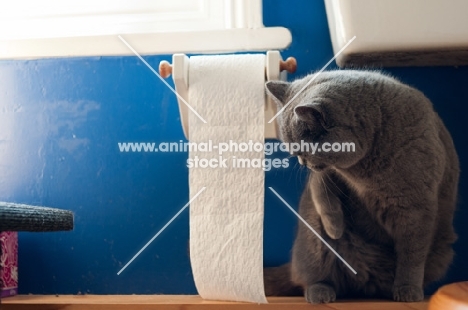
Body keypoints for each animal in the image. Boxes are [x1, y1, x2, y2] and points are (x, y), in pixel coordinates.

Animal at [266, 69, 458, 302]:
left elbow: (411, 255)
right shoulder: (326, 174)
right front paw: (335, 229)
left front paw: (407, 289)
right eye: (294, 152)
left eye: (302, 151)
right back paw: (320, 291)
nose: (302, 162)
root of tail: (366, 284)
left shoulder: (416, 209)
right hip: (312, 240)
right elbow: (322, 195)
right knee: (310, 275)